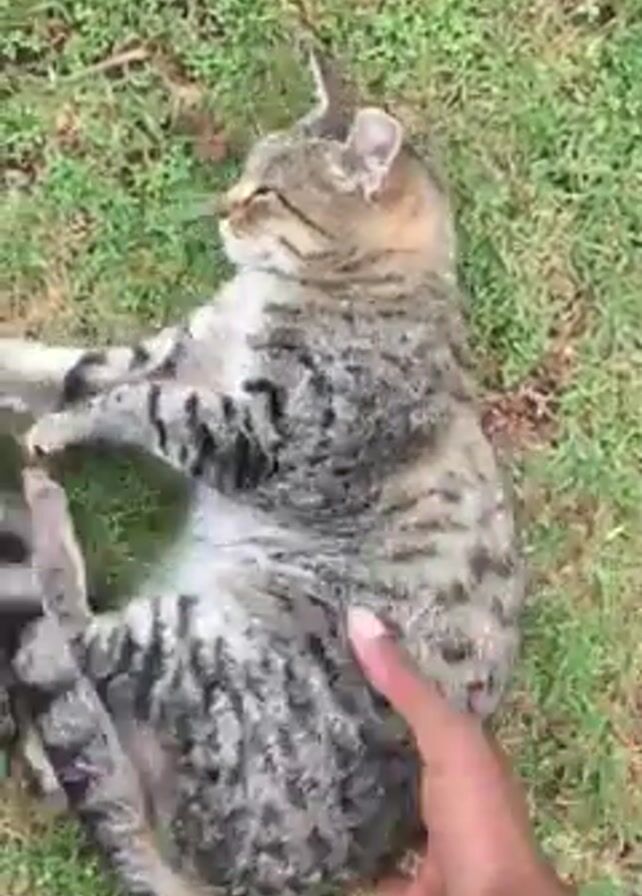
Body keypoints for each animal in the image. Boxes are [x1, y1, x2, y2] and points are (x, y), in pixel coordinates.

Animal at [0, 53, 525, 896]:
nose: (223, 205)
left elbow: (134, 401)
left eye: (268, 193)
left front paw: (61, 428)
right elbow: (79, 369)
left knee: (70, 640)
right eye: (245, 172)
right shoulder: (181, 350)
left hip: (207, 645)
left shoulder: (263, 430)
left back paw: (43, 509)